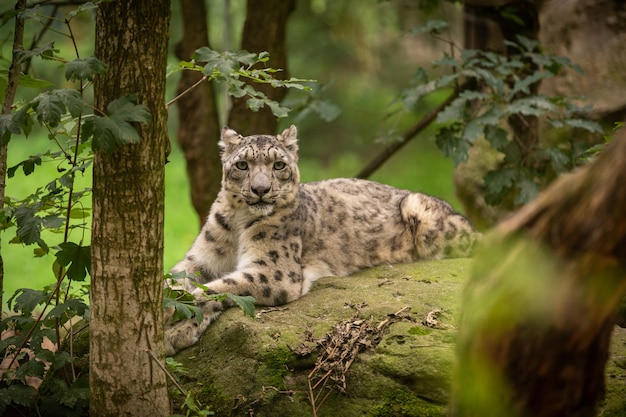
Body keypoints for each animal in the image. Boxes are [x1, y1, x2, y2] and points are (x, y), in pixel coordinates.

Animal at [163, 124, 476, 354]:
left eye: (278, 165)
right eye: (242, 165)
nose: (261, 189)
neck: (239, 223)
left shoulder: (273, 271)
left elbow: (218, 288)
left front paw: (175, 329)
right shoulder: (200, 259)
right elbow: (175, 279)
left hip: (425, 215)